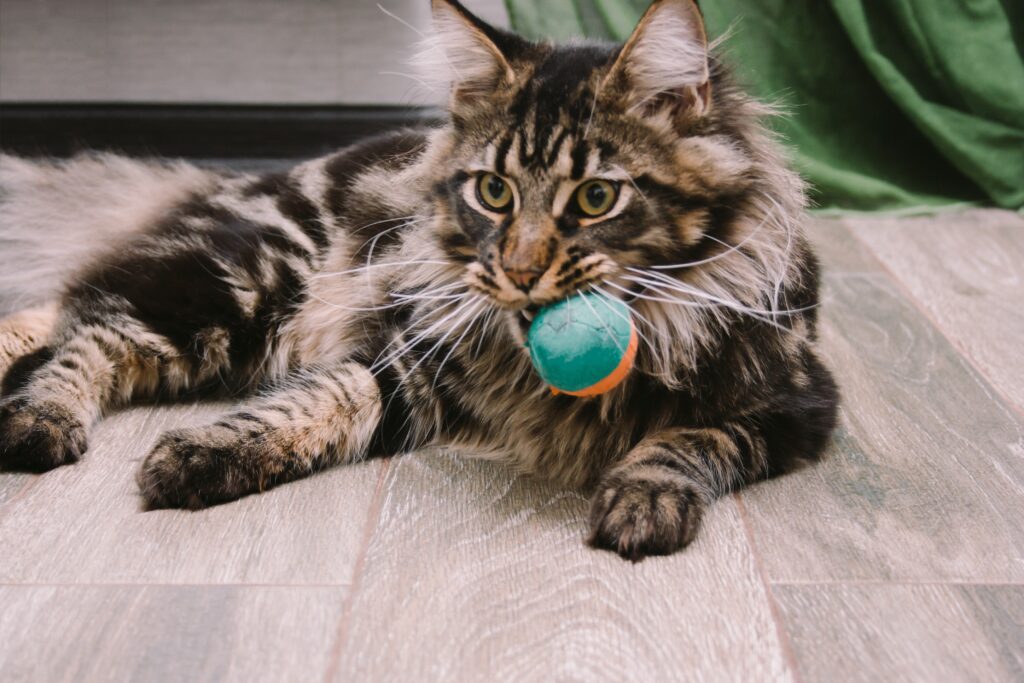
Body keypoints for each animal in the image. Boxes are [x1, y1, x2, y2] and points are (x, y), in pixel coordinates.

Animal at [0, 0, 839, 561]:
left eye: (597, 197)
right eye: (493, 191)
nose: (519, 272)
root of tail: (234, 182)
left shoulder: (796, 404)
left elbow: (694, 438)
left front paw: (645, 496)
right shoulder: (414, 359)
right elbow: (317, 400)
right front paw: (202, 452)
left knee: (72, 309)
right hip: (243, 286)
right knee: (90, 327)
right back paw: (38, 418)